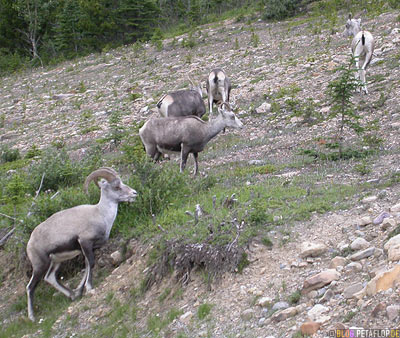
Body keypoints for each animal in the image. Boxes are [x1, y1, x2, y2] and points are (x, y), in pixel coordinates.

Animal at [26, 168, 138, 320]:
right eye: (116, 187)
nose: (134, 193)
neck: (101, 215)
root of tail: (29, 243)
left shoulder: (88, 248)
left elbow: (87, 265)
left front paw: (79, 290)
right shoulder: (85, 242)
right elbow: (91, 263)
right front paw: (89, 288)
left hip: (56, 262)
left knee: (50, 278)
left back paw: (72, 295)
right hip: (40, 265)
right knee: (30, 287)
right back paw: (32, 317)